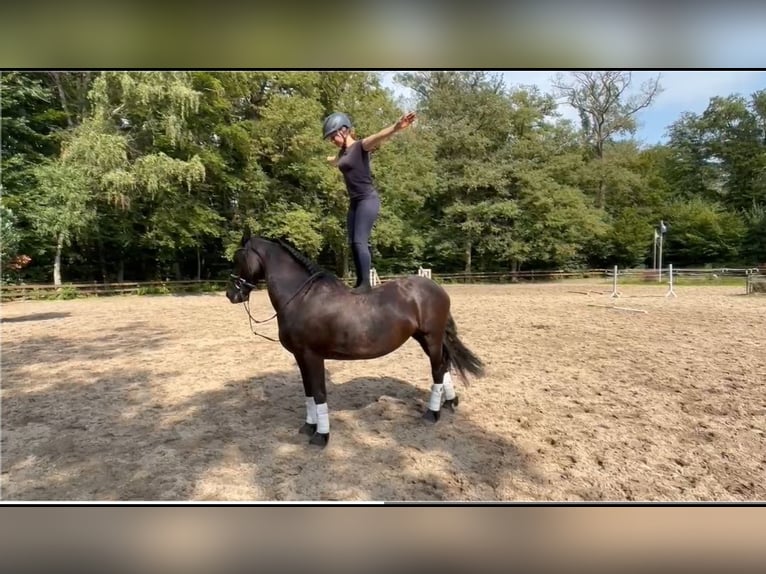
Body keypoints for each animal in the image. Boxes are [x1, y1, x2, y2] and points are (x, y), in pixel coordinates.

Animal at [225, 235, 486, 450]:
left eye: (239, 258)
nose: (231, 294)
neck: (302, 297)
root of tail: (436, 288)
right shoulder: (300, 356)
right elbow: (308, 391)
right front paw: (309, 427)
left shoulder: (312, 355)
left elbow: (319, 392)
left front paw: (321, 436)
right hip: (425, 337)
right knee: (443, 365)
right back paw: (450, 402)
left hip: (432, 337)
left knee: (438, 369)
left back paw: (432, 413)